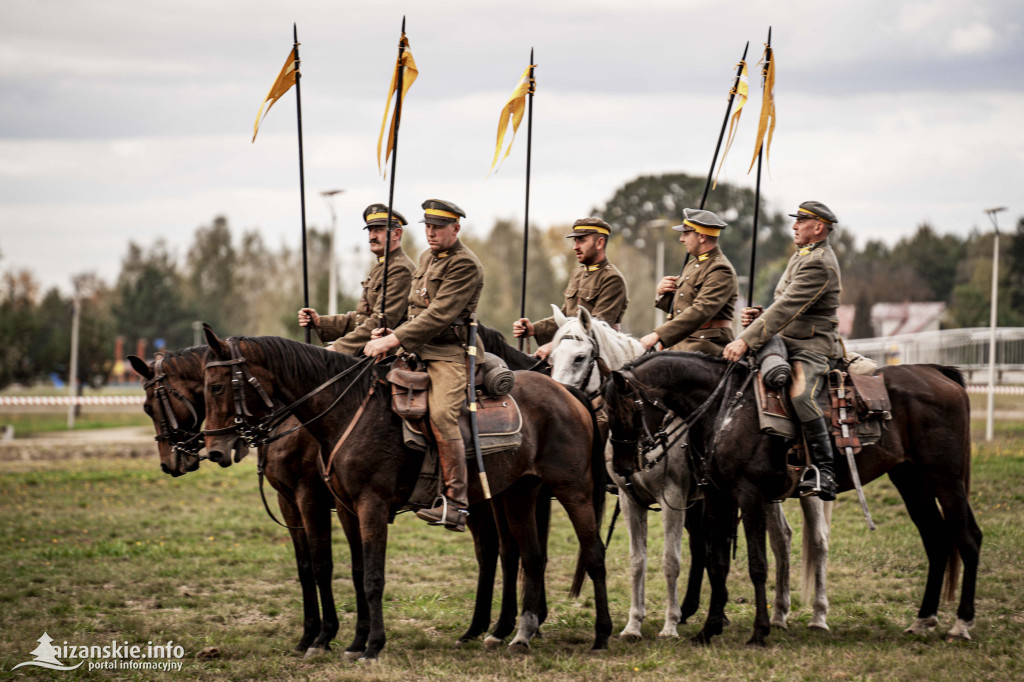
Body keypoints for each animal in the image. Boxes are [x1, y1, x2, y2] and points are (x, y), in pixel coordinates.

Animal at [203, 327, 610, 655]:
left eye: (217, 386)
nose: (214, 449)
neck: (349, 411)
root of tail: (566, 392)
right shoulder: (344, 508)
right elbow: (353, 571)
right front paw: (352, 641)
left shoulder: (362, 504)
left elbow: (370, 576)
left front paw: (370, 645)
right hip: (518, 494)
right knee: (531, 557)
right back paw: (519, 634)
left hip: (573, 490)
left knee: (592, 554)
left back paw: (601, 635)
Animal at [602, 352, 978, 647]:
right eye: (604, 412)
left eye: (625, 409)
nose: (621, 467)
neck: (726, 409)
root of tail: (937, 372)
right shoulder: (718, 496)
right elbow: (717, 561)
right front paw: (708, 630)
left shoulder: (748, 495)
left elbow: (756, 564)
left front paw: (758, 631)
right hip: (911, 481)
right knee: (936, 540)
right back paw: (923, 620)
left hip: (945, 479)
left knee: (967, 538)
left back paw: (960, 624)